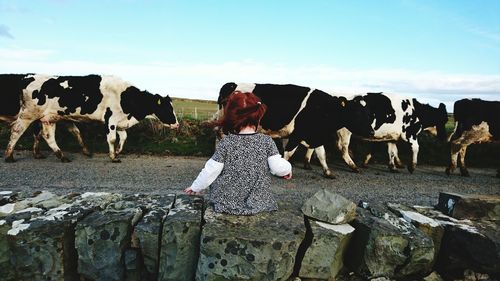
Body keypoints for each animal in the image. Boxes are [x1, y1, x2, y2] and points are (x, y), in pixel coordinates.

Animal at [3, 74, 180, 162]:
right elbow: (112, 139)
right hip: (29, 113)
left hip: (49, 117)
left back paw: (61, 156)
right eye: (167, 108)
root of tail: (27, 77)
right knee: (17, 130)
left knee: (47, 135)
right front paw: (113, 157)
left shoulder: (121, 122)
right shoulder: (111, 119)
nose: (177, 125)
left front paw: (118, 152)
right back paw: (9, 156)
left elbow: (123, 138)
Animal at [217, 82, 374, 177]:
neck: (323, 108)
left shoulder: (316, 134)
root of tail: (231, 84)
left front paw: (328, 172)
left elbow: (321, 154)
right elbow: (288, 154)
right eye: (357, 113)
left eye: (369, 113)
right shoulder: (296, 135)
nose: (372, 132)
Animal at [302, 92, 448, 172]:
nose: (445, 138)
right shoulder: (410, 133)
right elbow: (416, 148)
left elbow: (392, 151)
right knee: (342, 149)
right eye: (445, 119)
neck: (416, 111)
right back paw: (353, 167)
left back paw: (307, 164)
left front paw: (393, 166)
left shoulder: (391, 137)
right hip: (345, 132)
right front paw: (411, 166)